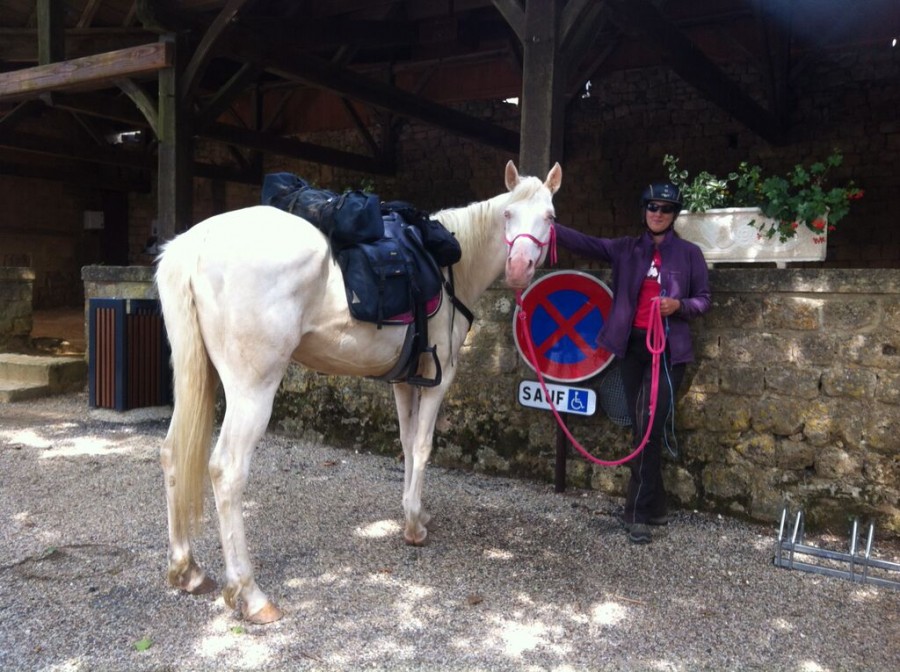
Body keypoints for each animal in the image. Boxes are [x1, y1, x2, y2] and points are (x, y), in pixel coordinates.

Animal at [156, 160, 564, 624]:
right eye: (508, 215)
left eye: (549, 217)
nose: (518, 266)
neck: (447, 269)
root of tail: (195, 244)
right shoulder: (439, 379)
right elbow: (423, 446)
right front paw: (414, 528)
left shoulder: (406, 380)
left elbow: (406, 443)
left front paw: (413, 510)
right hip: (252, 390)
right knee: (227, 470)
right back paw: (250, 594)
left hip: (195, 374)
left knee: (172, 452)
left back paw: (186, 570)